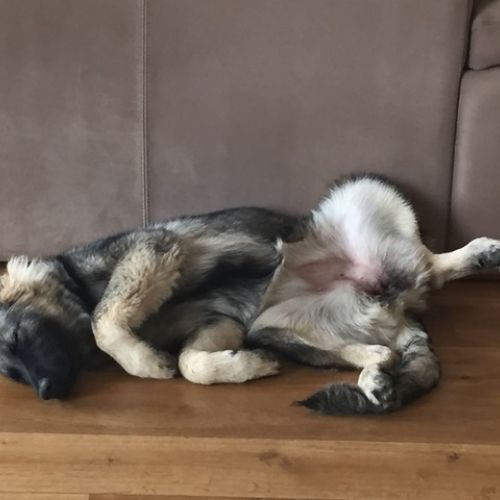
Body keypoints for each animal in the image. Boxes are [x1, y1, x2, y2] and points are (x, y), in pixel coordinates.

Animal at [0, 207, 298, 399]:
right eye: (14, 375)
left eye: (17, 336)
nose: (45, 393)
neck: (81, 292)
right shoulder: (221, 320)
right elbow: (189, 363)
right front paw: (250, 364)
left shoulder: (152, 246)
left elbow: (102, 323)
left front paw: (148, 364)